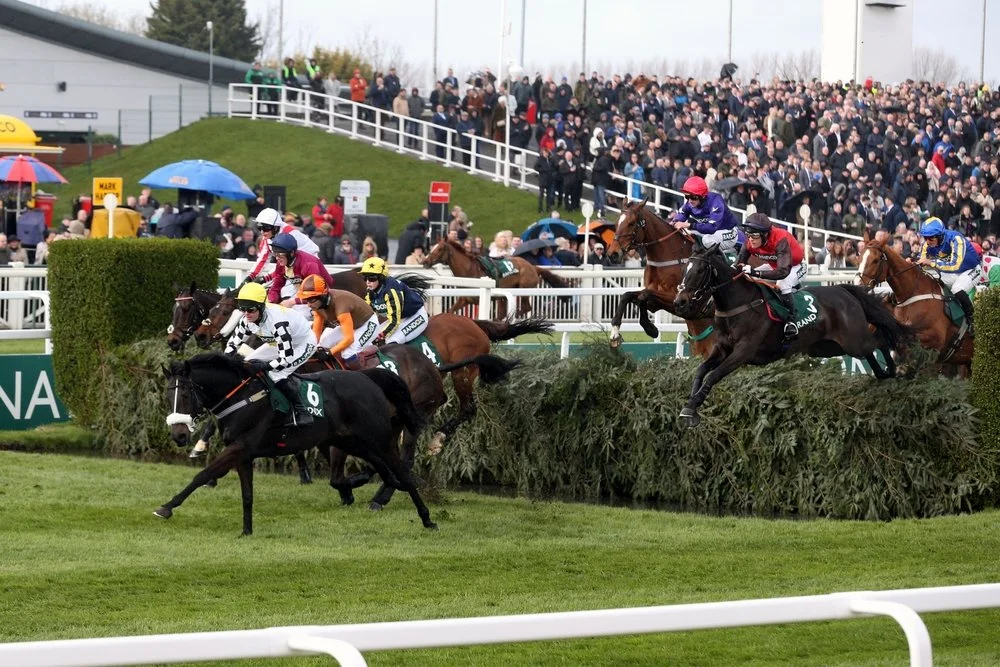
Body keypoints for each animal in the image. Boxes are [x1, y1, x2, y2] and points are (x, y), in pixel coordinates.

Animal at [157, 352, 437, 533]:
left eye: (185, 394)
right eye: (168, 395)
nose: (179, 435)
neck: (242, 397)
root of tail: (367, 377)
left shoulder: (239, 447)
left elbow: (203, 475)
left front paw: (166, 507)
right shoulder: (243, 455)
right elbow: (247, 495)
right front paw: (246, 531)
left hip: (380, 439)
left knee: (403, 472)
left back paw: (427, 519)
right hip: (353, 441)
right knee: (382, 471)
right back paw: (371, 487)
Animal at [423, 238, 572, 319]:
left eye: (439, 249)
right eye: (432, 247)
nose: (425, 261)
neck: (469, 270)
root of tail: (533, 267)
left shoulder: (479, 300)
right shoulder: (465, 299)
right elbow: (450, 311)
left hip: (524, 288)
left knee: (525, 308)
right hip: (504, 296)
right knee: (505, 313)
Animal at [605, 199, 717, 357]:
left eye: (631, 223)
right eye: (616, 224)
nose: (612, 254)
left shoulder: (679, 302)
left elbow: (643, 296)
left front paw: (650, 328)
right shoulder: (655, 298)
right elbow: (630, 296)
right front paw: (615, 333)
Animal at [673, 244, 916, 427]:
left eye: (699, 271)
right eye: (684, 269)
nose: (680, 301)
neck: (737, 304)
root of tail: (843, 290)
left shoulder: (743, 352)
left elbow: (713, 375)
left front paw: (691, 407)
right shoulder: (721, 349)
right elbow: (701, 371)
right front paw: (690, 407)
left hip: (853, 340)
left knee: (880, 340)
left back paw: (893, 369)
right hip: (829, 347)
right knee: (870, 351)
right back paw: (882, 373)